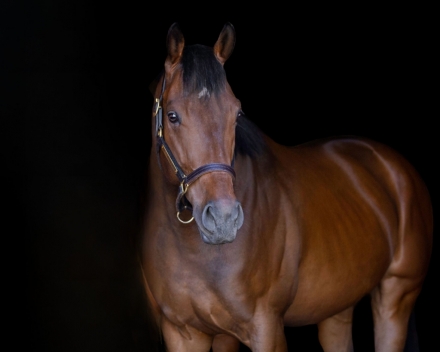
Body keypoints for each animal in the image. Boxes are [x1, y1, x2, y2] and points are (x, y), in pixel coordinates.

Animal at [141, 22, 434, 352]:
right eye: (172, 116)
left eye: (236, 114)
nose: (223, 219)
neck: (196, 254)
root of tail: (395, 167)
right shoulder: (184, 333)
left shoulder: (266, 329)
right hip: (337, 308)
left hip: (396, 297)